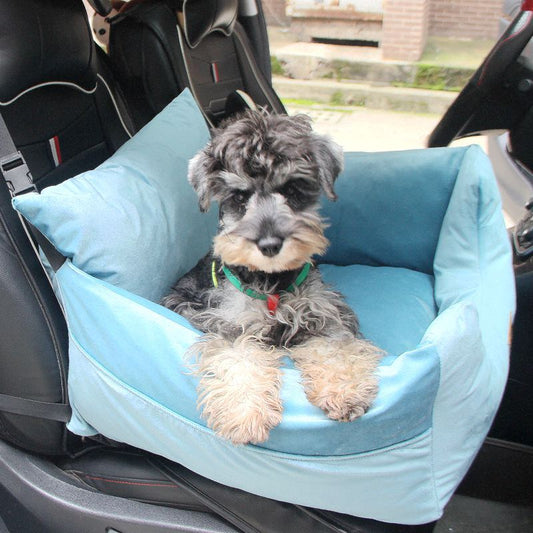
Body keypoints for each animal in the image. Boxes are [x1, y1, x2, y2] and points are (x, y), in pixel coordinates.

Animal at [160, 109, 380, 444]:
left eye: (291, 189)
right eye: (239, 197)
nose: (269, 244)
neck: (273, 283)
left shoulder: (322, 316)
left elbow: (335, 351)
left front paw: (345, 392)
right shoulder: (231, 327)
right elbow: (240, 361)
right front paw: (245, 415)